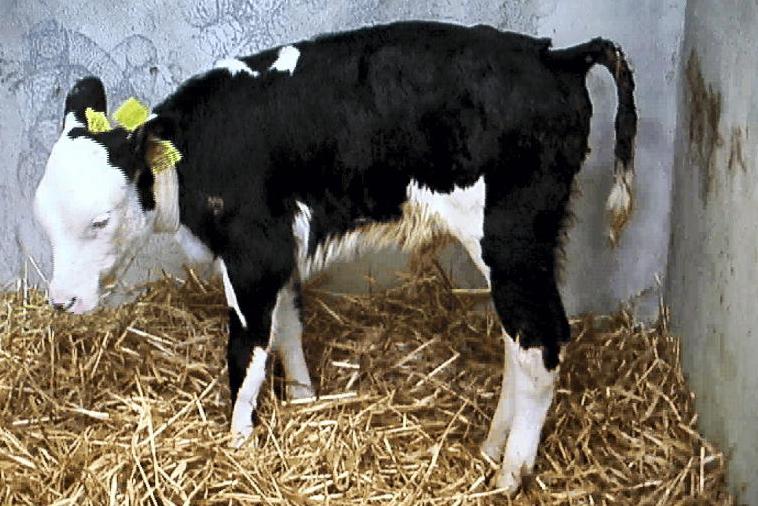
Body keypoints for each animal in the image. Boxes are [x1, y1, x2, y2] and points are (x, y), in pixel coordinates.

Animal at [32, 21, 637, 493]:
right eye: (43, 220)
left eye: (100, 220)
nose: (61, 301)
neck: (197, 156)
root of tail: (555, 56)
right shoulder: (282, 252)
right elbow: (288, 327)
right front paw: (304, 400)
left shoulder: (253, 255)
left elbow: (247, 352)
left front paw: (238, 443)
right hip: (531, 246)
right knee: (520, 340)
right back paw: (491, 447)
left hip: (510, 237)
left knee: (540, 343)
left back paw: (509, 474)